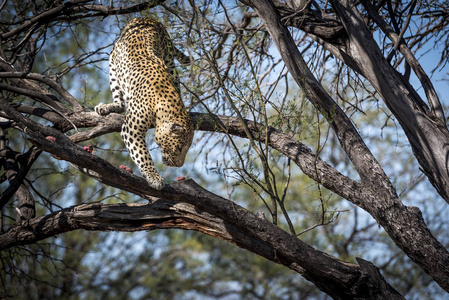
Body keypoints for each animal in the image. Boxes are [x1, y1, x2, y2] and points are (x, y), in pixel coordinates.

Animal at [94, 17, 192, 190]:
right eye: (179, 148)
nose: (179, 165)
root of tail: (147, 18)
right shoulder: (131, 129)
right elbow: (142, 154)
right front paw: (154, 177)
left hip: (169, 60)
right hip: (113, 65)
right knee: (119, 102)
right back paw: (106, 107)